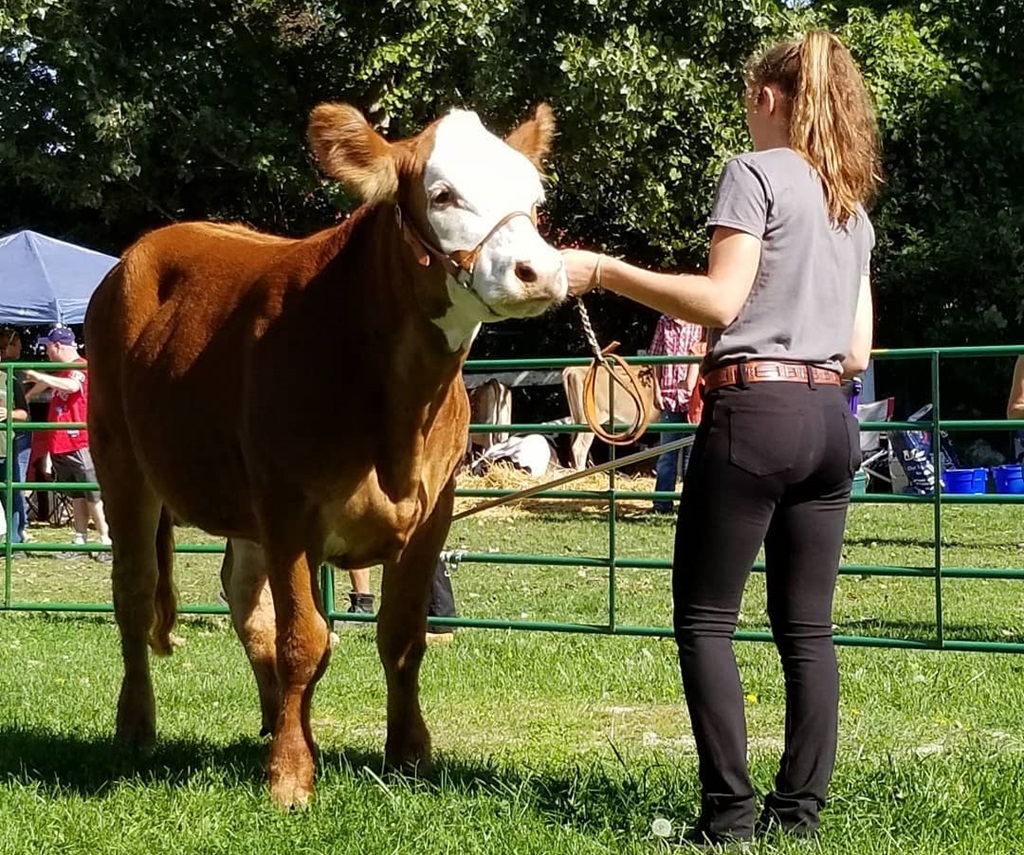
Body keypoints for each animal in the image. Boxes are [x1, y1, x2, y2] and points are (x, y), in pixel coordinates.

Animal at [83, 101, 567, 808]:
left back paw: (271, 720)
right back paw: (137, 726)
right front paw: (290, 776)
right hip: (121, 462)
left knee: (244, 600)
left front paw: (408, 753)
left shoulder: (433, 511)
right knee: (136, 593)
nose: (541, 272)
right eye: (442, 194)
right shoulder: (289, 507)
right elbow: (305, 640)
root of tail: (140, 252)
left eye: (533, 199)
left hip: (243, 504)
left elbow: (401, 636)